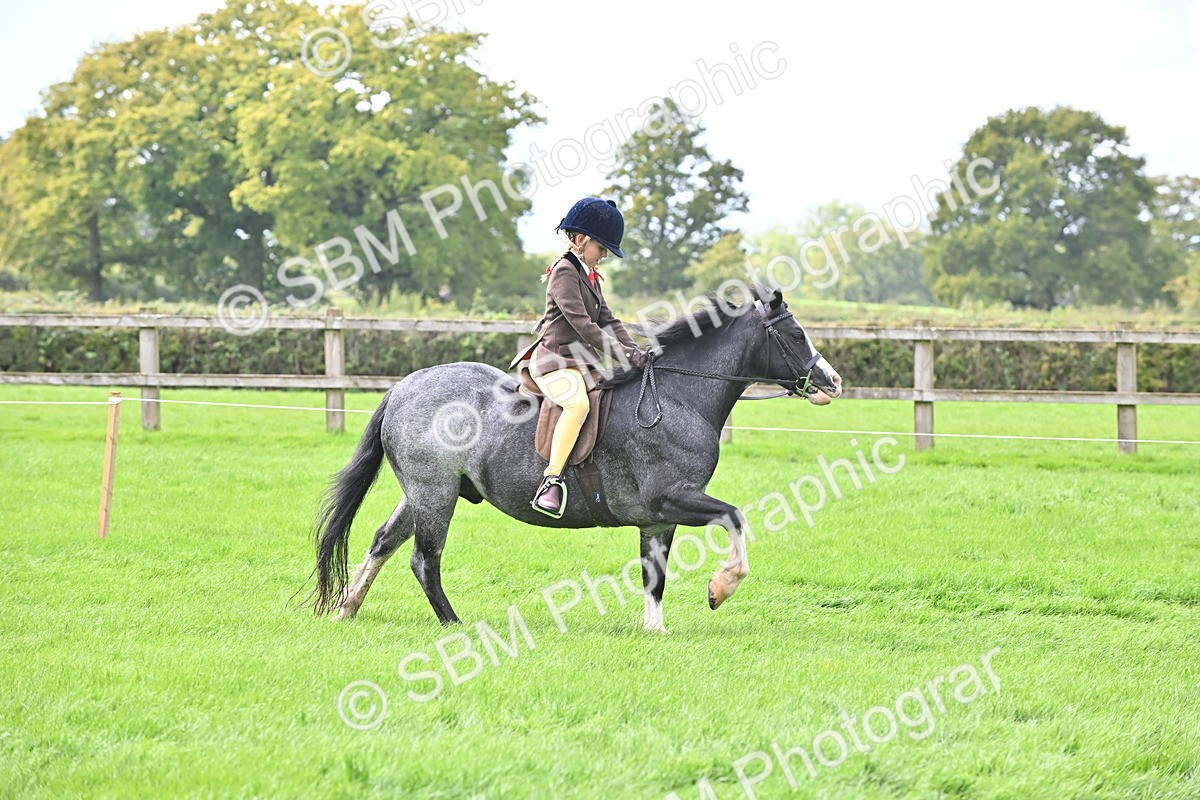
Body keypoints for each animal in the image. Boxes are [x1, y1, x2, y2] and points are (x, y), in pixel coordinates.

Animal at [309, 287, 842, 634]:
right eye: (796, 335)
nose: (832, 382)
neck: (678, 396)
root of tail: (404, 385)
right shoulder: (673, 499)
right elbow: (735, 517)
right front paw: (720, 588)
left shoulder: (658, 518)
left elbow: (654, 576)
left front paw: (655, 631)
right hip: (435, 492)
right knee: (424, 558)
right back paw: (452, 623)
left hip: (420, 493)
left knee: (383, 541)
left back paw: (347, 609)